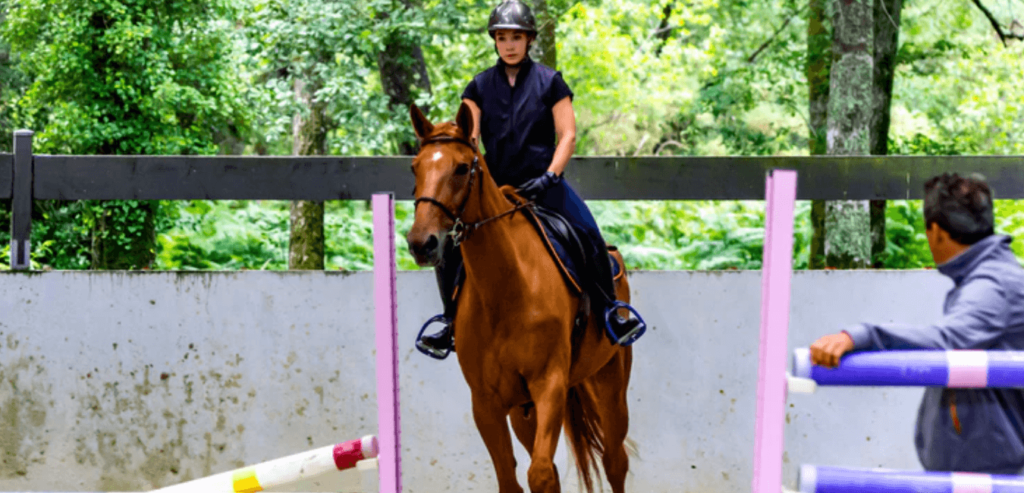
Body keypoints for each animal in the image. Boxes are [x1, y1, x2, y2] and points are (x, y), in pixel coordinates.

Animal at [403, 101, 634, 489]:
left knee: (615, 461)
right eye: (414, 167)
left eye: (462, 168)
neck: (506, 289)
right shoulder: (486, 401)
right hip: (522, 410)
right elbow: (511, 479)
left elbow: (540, 474)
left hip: (610, 383)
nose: (422, 243)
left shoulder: (549, 385)